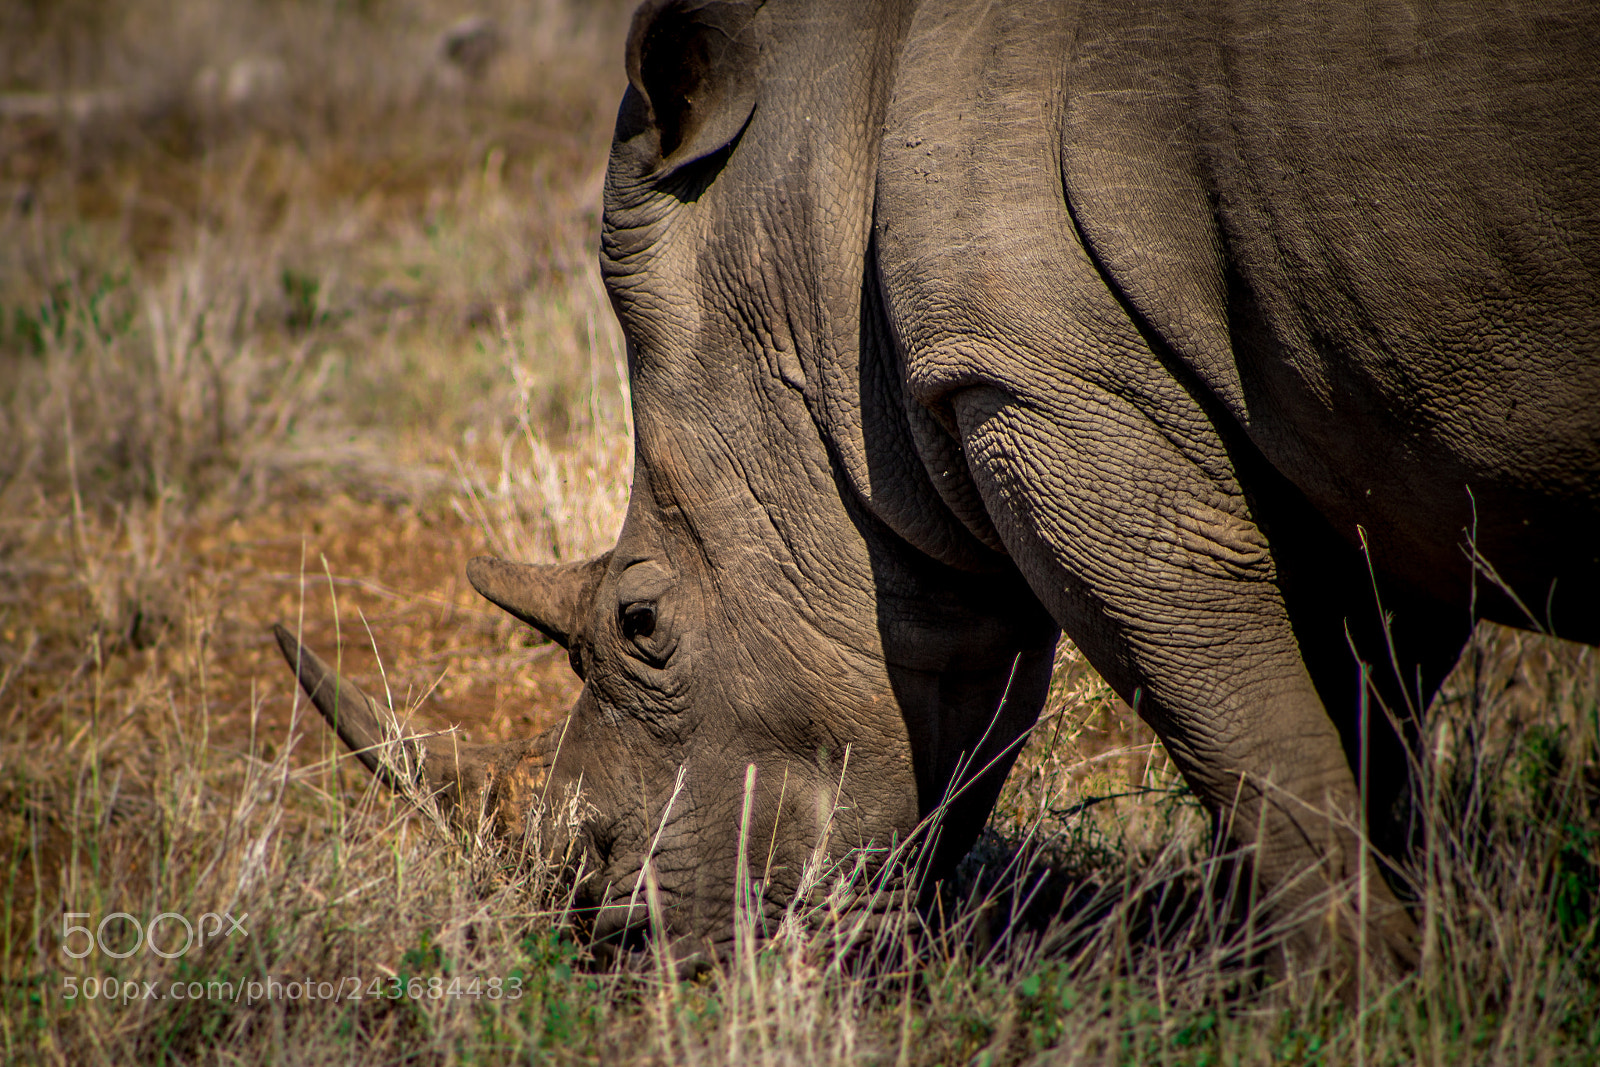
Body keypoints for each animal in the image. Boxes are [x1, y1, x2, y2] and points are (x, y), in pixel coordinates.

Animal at [278, 0, 1600, 975]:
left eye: (640, 621)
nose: (605, 927)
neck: (817, 188)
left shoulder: (1048, 386)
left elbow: (1244, 726)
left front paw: (1353, 996)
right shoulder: (1338, 420)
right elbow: (1357, 712)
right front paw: (1349, 966)